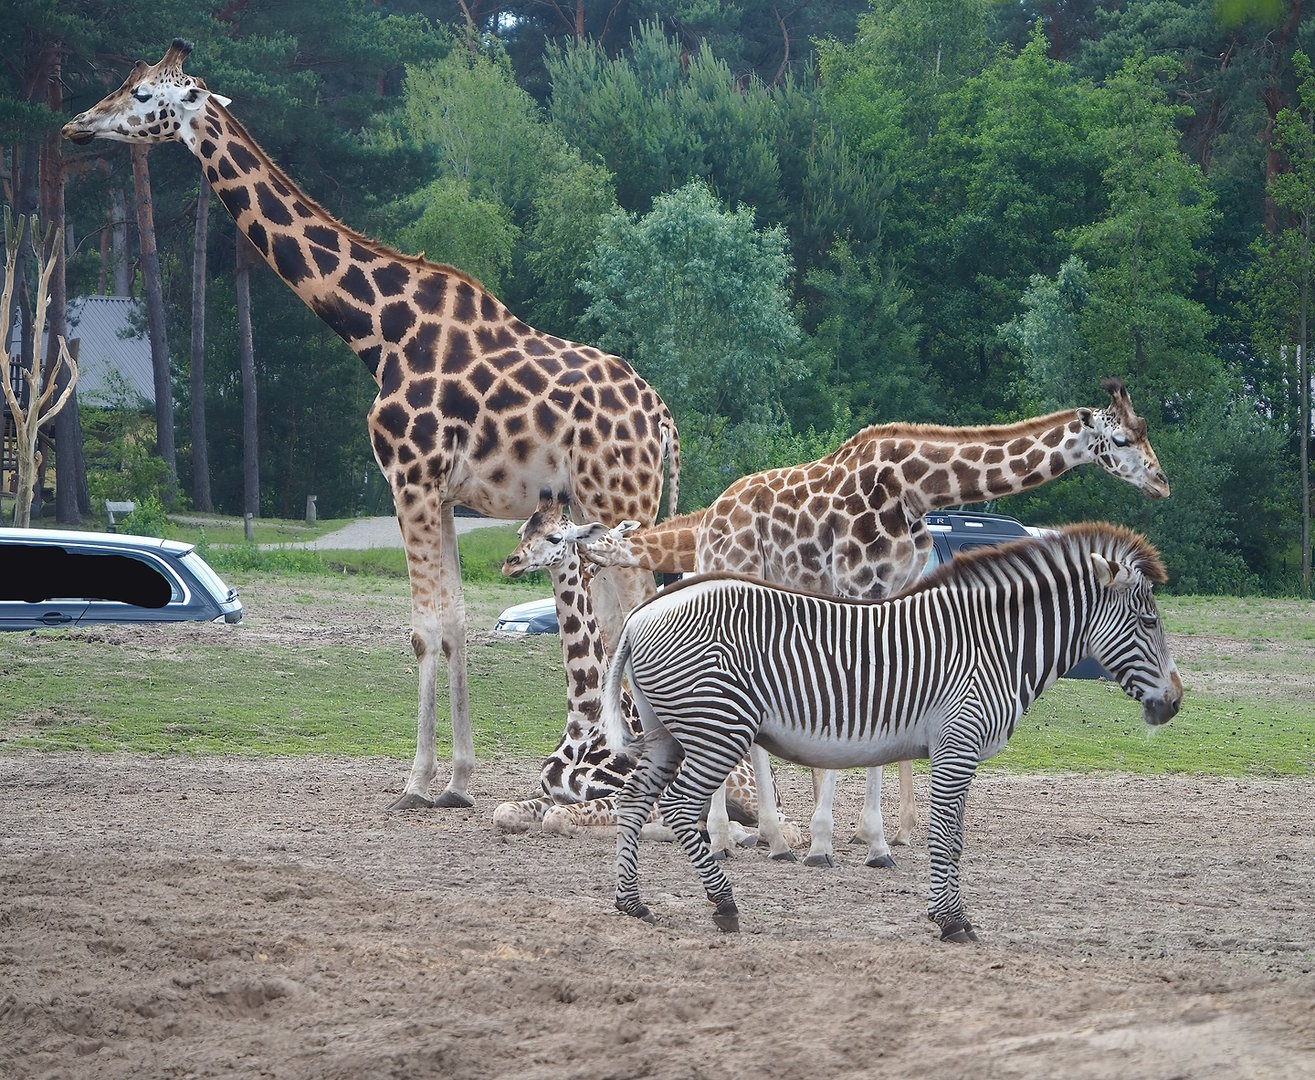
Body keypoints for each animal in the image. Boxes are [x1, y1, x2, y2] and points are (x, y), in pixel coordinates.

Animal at [63, 41, 678, 809]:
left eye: (144, 94)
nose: (77, 126)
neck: (378, 331)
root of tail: (663, 422)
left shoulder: (407, 477)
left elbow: (423, 628)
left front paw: (416, 783)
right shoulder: (440, 492)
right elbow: (454, 622)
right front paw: (459, 782)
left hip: (621, 501)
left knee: (641, 617)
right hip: (612, 509)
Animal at [492, 493, 795, 850]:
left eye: (555, 537)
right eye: (521, 531)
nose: (511, 562)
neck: (583, 719)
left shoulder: (633, 792)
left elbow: (560, 819)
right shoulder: (553, 795)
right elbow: (505, 811)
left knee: (784, 825)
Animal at [583, 379, 1169, 865]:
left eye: (1145, 432)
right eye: (1121, 440)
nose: (1162, 483)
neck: (916, 488)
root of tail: (714, 515)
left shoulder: (892, 590)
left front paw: (876, 837)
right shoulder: (859, 585)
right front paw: (831, 841)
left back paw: (766, 836)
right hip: (732, 574)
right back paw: (733, 835)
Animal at [602, 523, 1182, 942]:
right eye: (1150, 622)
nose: (1175, 703)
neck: (995, 643)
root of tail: (639, 615)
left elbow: (952, 835)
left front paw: (944, 911)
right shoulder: (957, 744)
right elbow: (948, 835)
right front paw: (952, 921)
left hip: (667, 732)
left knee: (633, 800)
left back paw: (631, 903)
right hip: (716, 729)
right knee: (679, 807)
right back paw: (724, 905)